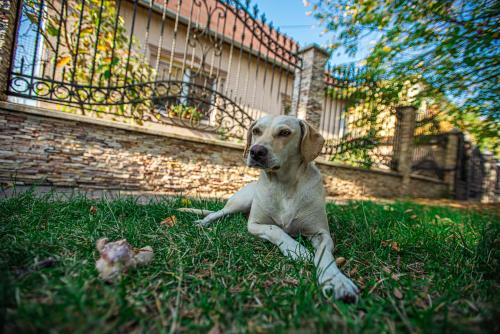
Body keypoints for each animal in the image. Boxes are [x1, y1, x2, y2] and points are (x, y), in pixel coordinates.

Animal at [180, 115, 360, 302]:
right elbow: (275, 230)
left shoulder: (321, 233)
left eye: (285, 132)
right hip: (240, 202)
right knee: (217, 213)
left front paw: (337, 281)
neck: (284, 184)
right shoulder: (255, 224)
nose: (256, 151)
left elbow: (324, 255)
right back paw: (203, 222)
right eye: (256, 131)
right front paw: (297, 250)